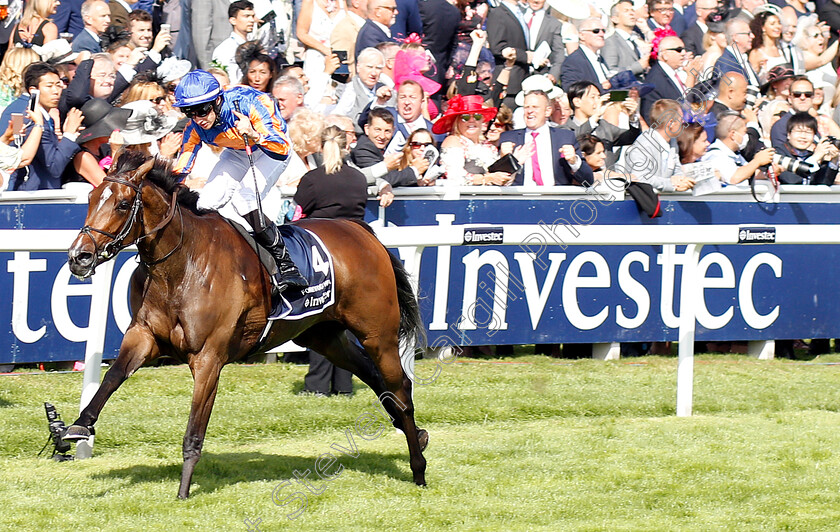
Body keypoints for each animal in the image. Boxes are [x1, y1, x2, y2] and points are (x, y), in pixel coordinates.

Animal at [63, 151, 426, 498]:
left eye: (123, 204)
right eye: (91, 198)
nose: (79, 257)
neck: (182, 265)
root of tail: (362, 232)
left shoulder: (209, 358)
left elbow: (194, 430)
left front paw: (183, 491)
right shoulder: (144, 336)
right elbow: (112, 377)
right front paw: (78, 426)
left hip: (378, 333)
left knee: (401, 388)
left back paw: (418, 468)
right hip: (324, 336)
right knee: (375, 377)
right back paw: (417, 435)